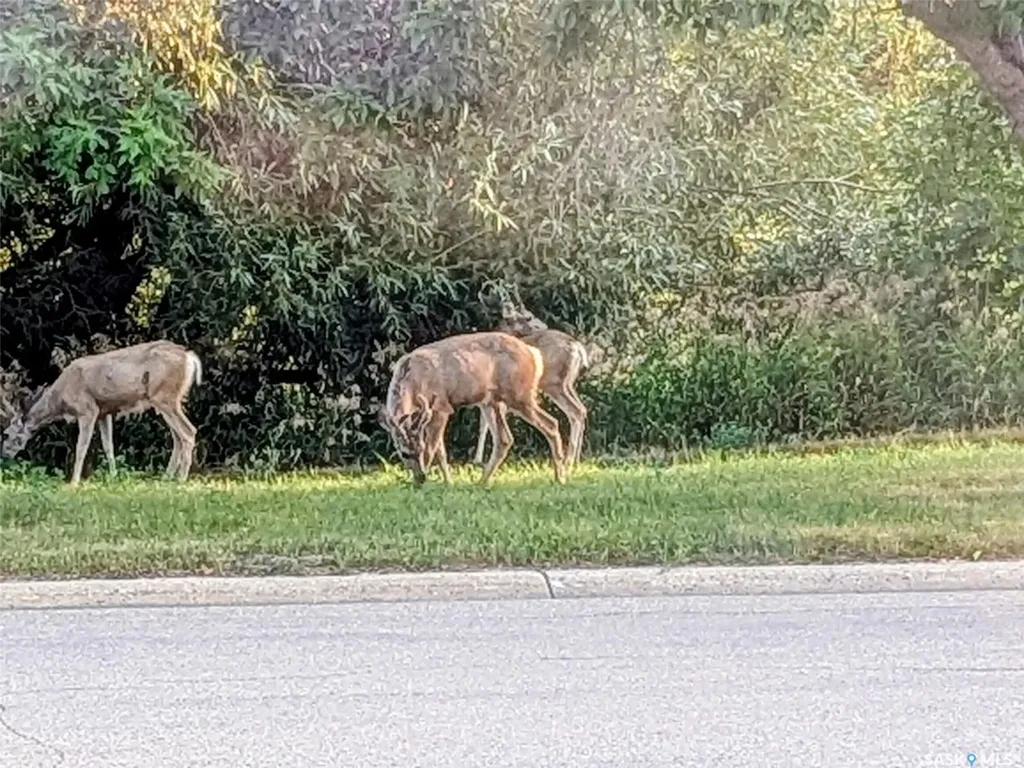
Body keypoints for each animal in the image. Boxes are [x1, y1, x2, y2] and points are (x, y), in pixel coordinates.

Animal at [1, 340, 203, 484]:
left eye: (6, 434)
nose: (4, 455)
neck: (61, 399)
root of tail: (190, 357)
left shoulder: (87, 410)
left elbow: (81, 447)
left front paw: (74, 481)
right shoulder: (104, 412)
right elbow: (108, 446)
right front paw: (113, 476)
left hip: (165, 397)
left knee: (188, 431)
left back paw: (181, 479)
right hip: (168, 401)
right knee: (177, 437)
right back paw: (167, 477)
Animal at [378, 331, 567, 486]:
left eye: (420, 449)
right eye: (404, 454)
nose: (420, 477)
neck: (413, 380)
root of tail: (534, 354)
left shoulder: (441, 406)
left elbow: (434, 448)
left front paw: (438, 483)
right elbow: (440, 450)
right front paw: (448, 482)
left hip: (519, 395)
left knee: (551, 424)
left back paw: (559, 477)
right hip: (491, 402)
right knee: (504, 439)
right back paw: (482, 482)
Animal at [472, 301, 590, 471]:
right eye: (528, 317)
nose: (544, 325)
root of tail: (578, 347)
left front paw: (480, 459)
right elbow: (483, 424)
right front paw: (478, 459)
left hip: (554, 383)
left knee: (576, 411)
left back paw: (568, 461)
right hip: (568, 384)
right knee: (581, 409)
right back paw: (576, 461)